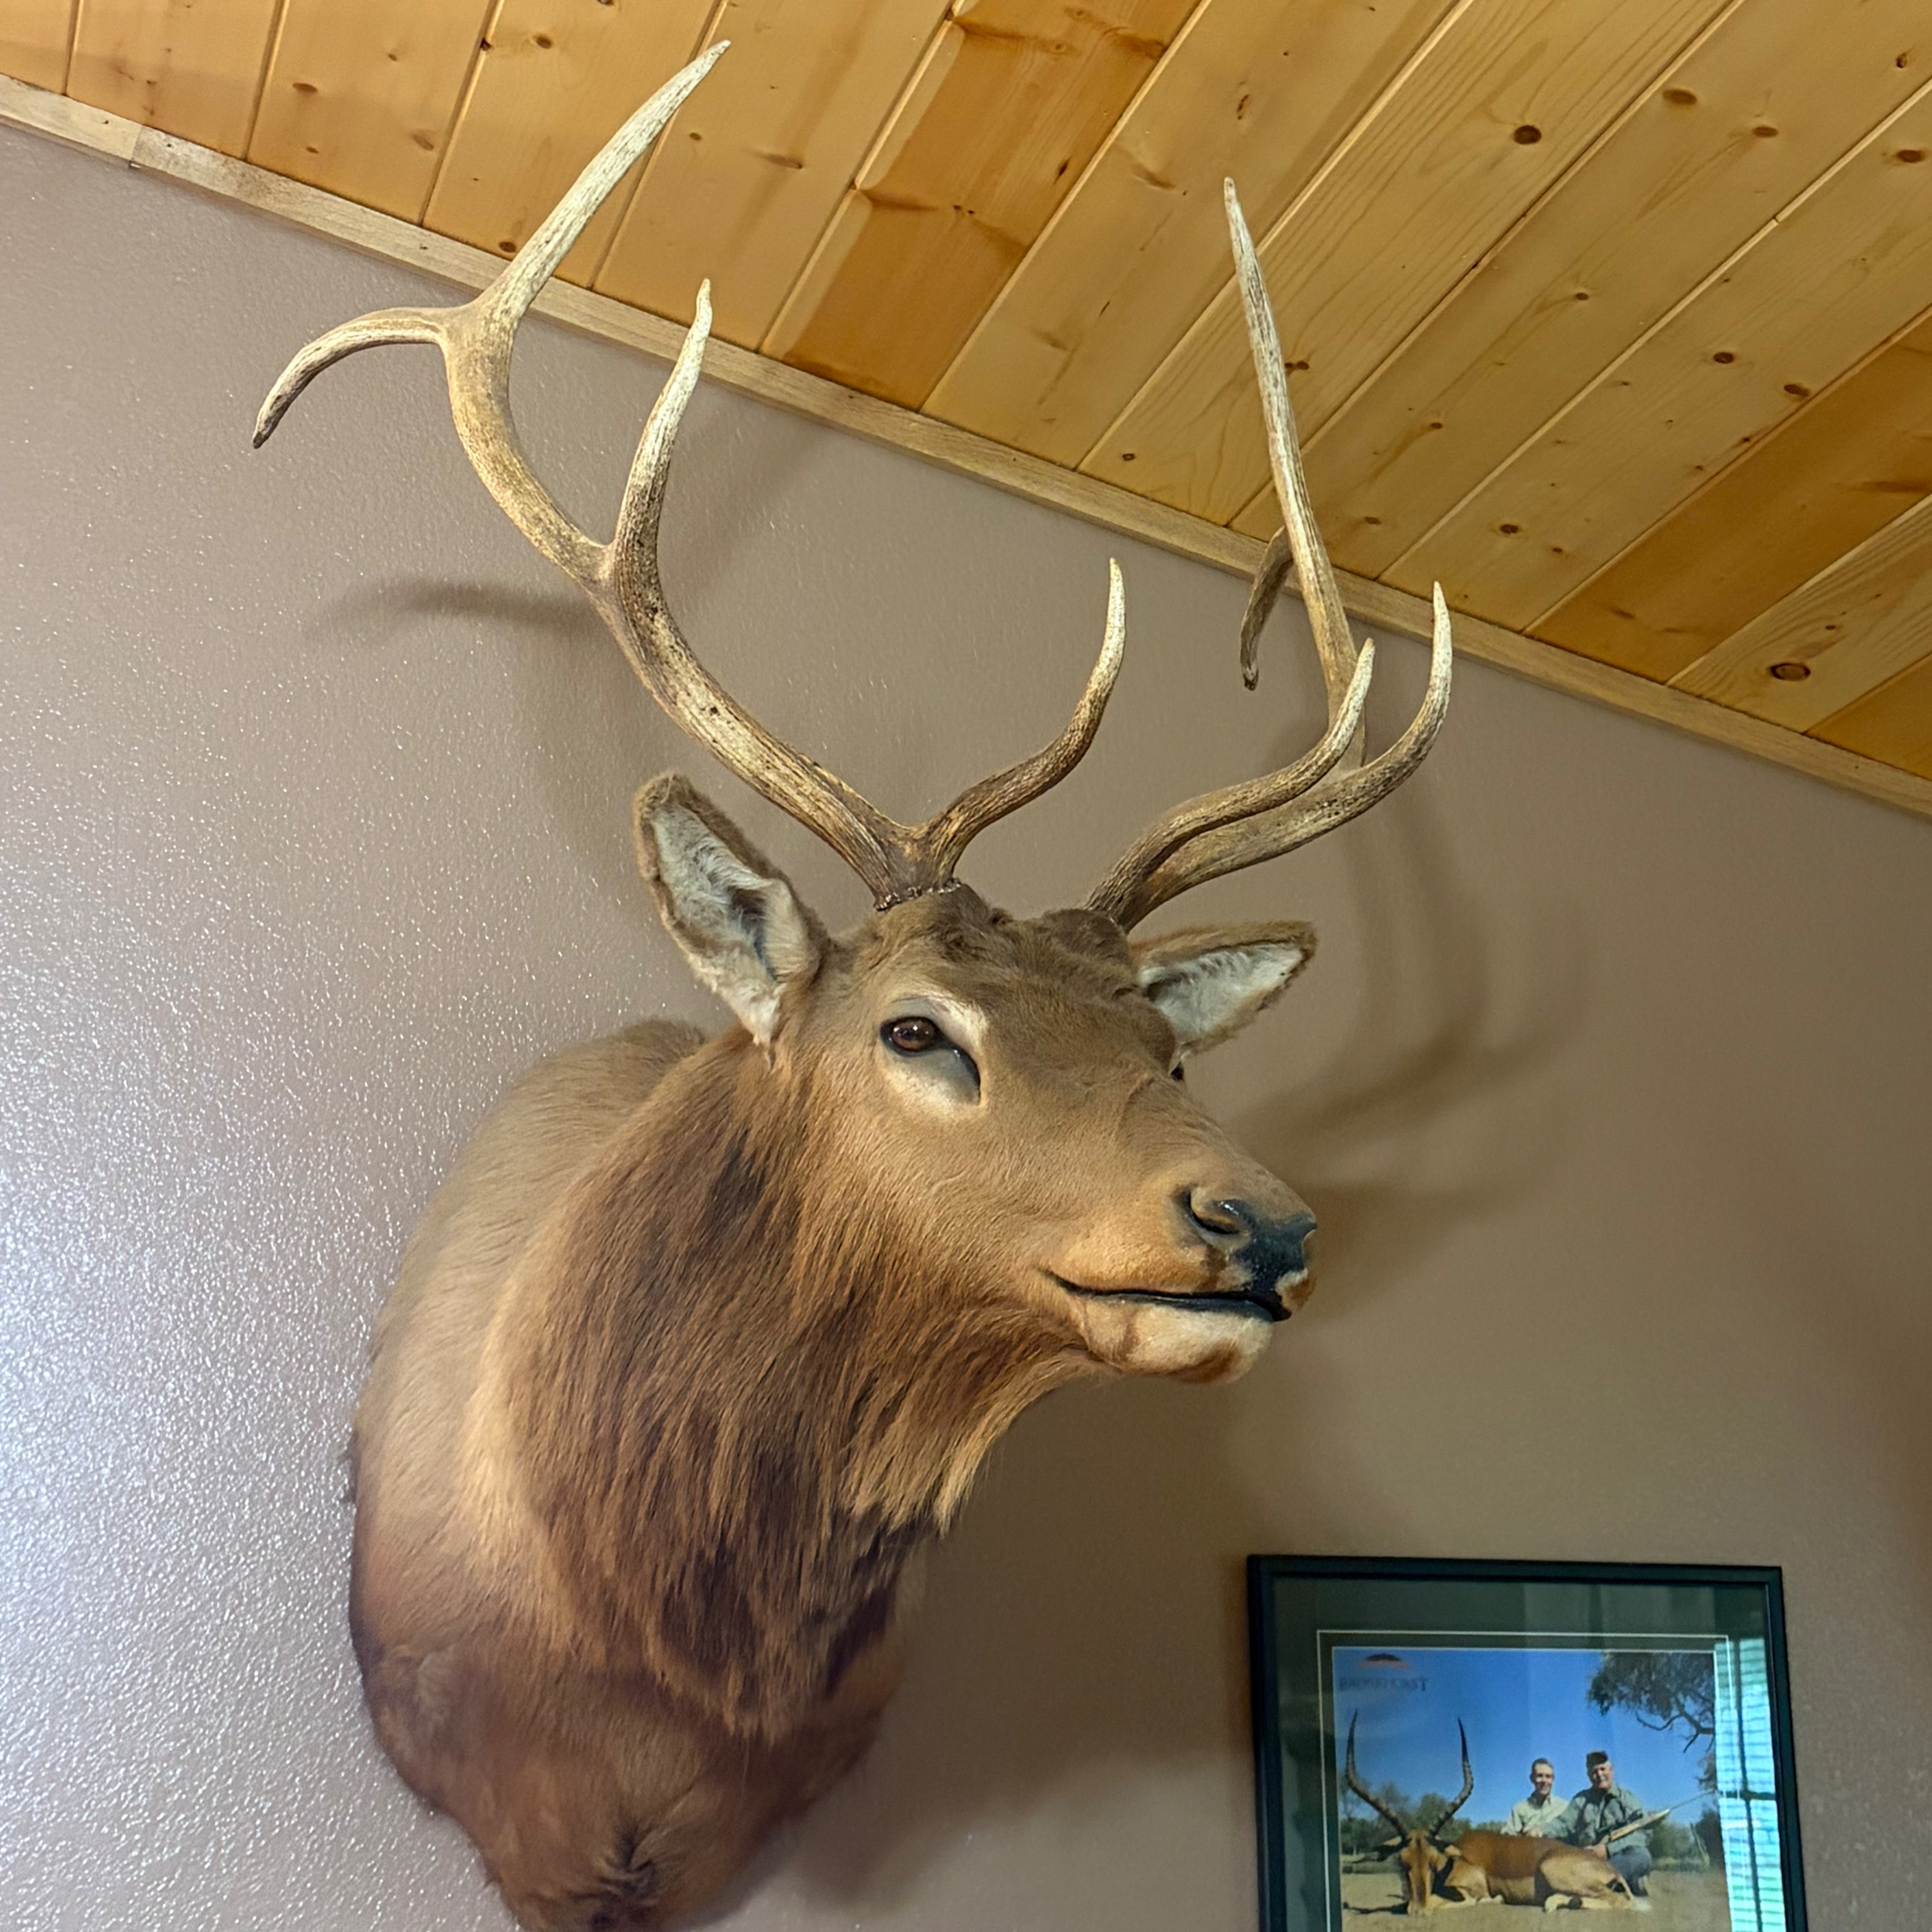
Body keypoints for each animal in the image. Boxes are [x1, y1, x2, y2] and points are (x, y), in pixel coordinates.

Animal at [1344, 1717, 1636, 1913]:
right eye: (1402, 1862)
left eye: (1433, 1862)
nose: (1420, 1911)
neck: (1453, 1861)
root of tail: (1608, 1868)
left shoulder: (1469, 1892)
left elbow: (1457, 1901)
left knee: (1621, 1902)